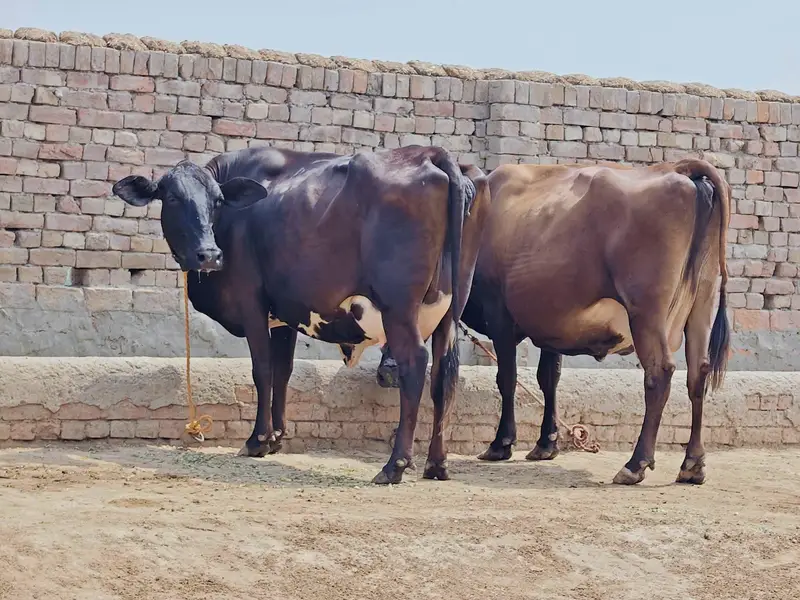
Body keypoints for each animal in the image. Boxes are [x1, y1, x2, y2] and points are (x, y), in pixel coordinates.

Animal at [112, 145, 489, 485]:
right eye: (173, 198)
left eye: (217, 201)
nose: (209, 254)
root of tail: (430, 153)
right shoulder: (284, 314)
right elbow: (283, 371)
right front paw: (276, 438)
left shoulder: (251, 303)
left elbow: (262, 370)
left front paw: (257, 440)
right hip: (450, 314)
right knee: (444, 376)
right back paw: (436, 464)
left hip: (398, 308)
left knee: (415, 365)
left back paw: (394, 466)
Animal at [376, 158, 731, 486]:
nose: (386, 373)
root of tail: (679, 169)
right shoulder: (554, 324)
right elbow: (549, 378)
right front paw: (546, 444)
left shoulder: (500, 314)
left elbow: (507, 378)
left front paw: (501, 443)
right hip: (702, 305)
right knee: (698, 374)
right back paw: (693, 465)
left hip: (646, 312)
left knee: (660, 373)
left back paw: (635, 464)